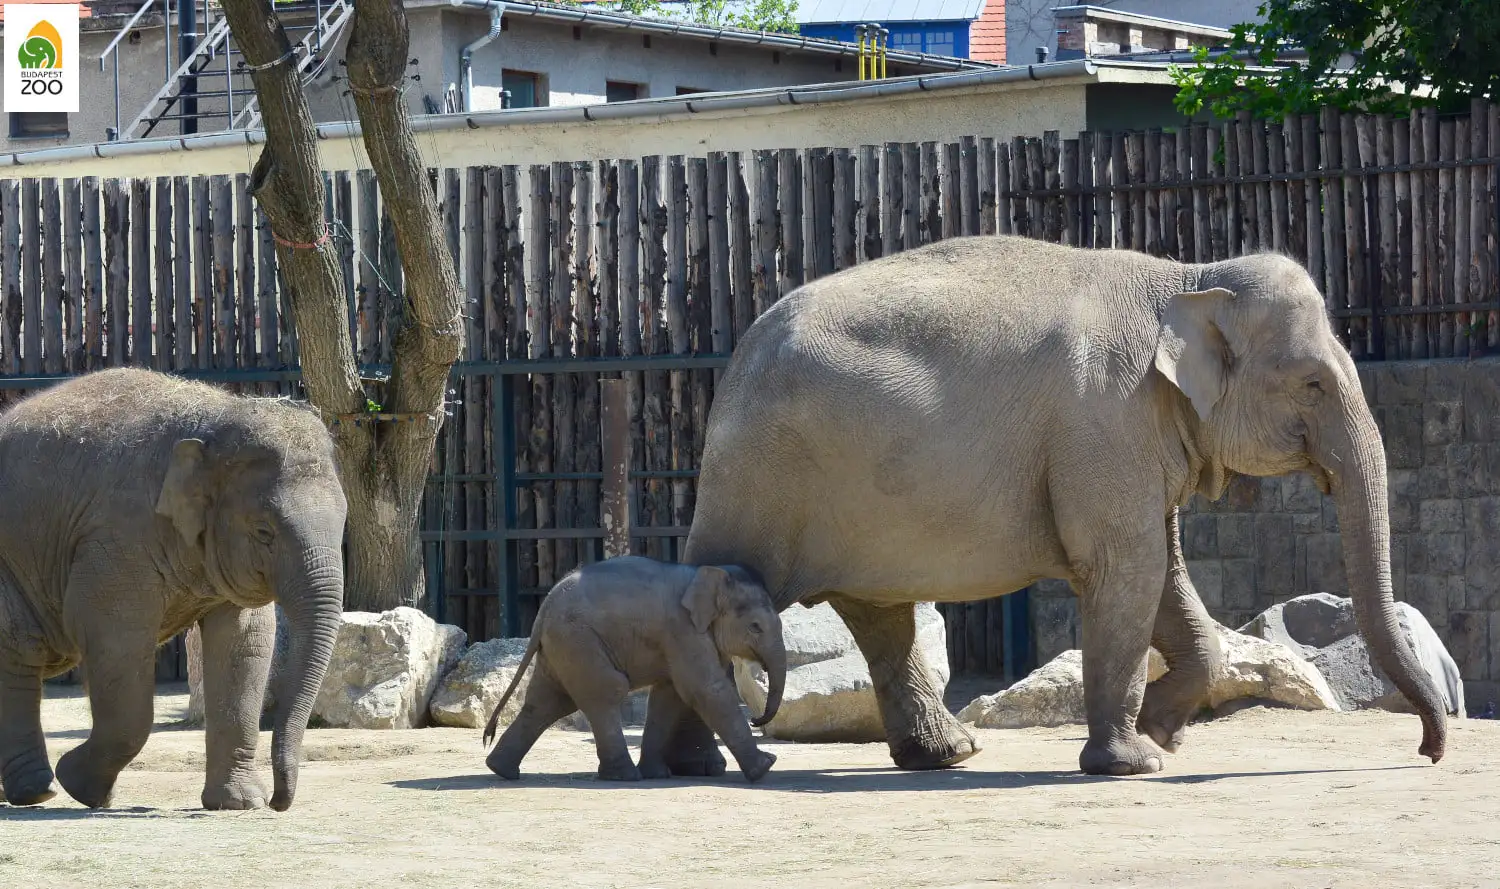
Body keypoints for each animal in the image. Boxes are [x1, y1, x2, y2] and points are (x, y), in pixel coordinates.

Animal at [0, 364, 345, 809]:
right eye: (263, 532)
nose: (277, 801)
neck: (216, 419)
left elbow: (244, 643)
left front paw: (238, 803)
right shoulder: (116, 538)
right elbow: (117, 641)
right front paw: (81, 786)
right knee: (18, 649)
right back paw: (38, 792)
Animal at [483, 557, 792, 779]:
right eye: (755, 627)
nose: (757, 720)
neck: (707, 576)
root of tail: (544, 608)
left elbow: (670, 696)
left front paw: (657, 774)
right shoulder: (682, 630)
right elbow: (706, 690)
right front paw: (765, 767)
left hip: (560, 648)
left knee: (546, 702)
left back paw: (501, 769)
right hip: (577, 640)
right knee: (606, 691)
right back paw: (625, 776)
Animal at [675, 232, 1446, 773]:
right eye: (1313, 383)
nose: (1428, 751)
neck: (1187, 278)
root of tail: (736, 359)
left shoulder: (1141, 438)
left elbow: (1164, 575)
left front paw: (1162, 734)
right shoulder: (1107, 422)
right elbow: (1127, 570)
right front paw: (1134, 762)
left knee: (880, 614)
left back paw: (948, 754)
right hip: (760, 481)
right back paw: (694, 765)